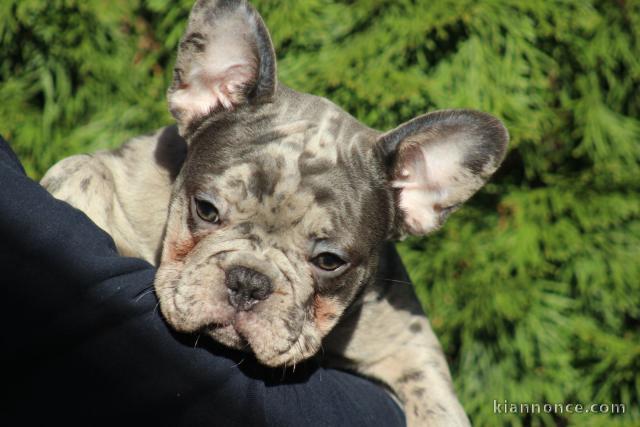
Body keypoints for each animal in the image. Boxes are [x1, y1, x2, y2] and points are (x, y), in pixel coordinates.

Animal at [42, 1, 508, 426]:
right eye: (206, 209)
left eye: (329, 261)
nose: (248, 282)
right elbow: (83, 171)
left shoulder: (405, 342)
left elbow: (436, 398)